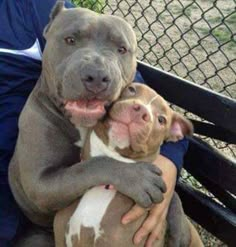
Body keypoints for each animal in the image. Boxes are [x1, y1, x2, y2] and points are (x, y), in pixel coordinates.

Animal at [8, 1, 166, 245]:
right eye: (70, 39)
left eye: (122, 49)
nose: (97, 76)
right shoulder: (40, 183)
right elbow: (86, 167)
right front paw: (135, 176)